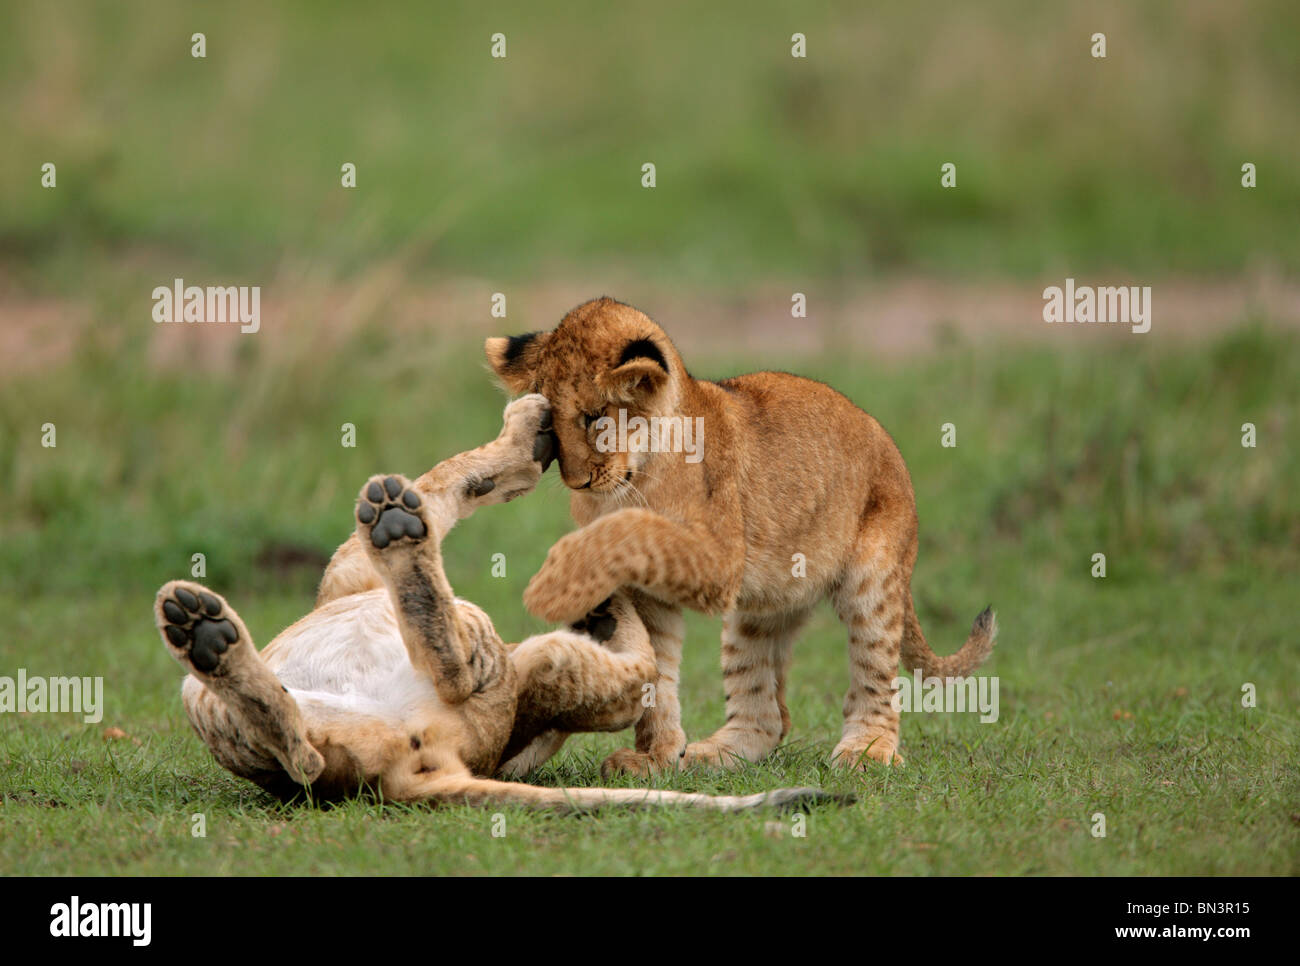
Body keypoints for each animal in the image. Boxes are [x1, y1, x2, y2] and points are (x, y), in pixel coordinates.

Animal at [154, 394, 835, 811]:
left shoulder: (351, 575)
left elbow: (445, 482)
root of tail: (389, 775)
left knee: (314, 747)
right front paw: (521, 441)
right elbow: (445, 482)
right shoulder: (351, 575)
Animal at [485, 298, 998, 777]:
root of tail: (886, 439)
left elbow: (634, 527)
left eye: (594, 417)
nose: (576, 482)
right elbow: (657, 669)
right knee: (768, 715)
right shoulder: (653, 594)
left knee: (875, 677)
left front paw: (554, 583)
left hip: (872, 582)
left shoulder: (718, 557)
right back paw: (715, 753)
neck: (640, 472)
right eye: (549, 422)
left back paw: (868, 751)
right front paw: (655, 757)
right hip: (758, 610)